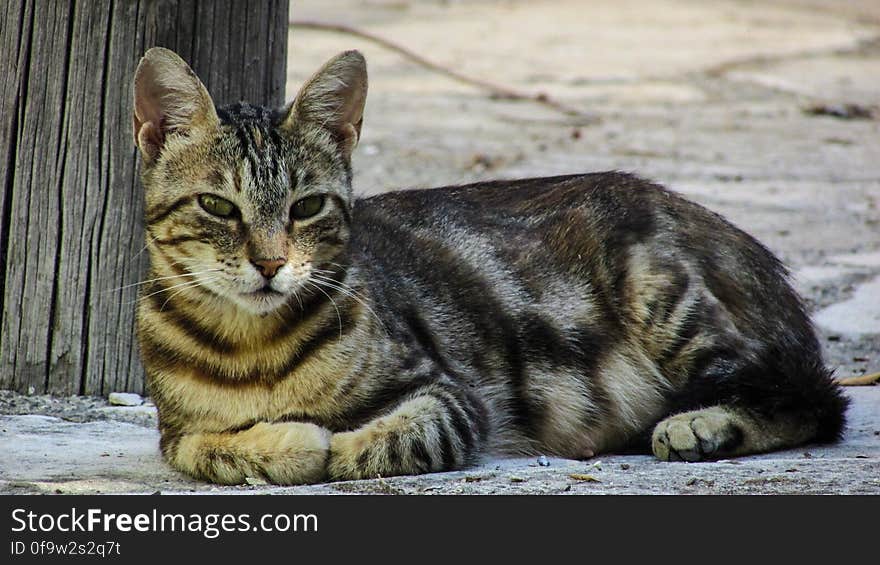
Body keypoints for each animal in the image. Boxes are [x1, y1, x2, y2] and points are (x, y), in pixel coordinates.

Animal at [131, 46, 844, 484]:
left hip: (658, 286)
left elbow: (387, 441)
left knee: (814, 399)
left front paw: (336, 443)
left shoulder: (453, 394)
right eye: (217, 206)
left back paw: (704, 422)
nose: (271, 263)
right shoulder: (174, 431)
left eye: (306, 207)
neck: (251, 347)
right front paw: (283, 442)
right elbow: (203, 448)